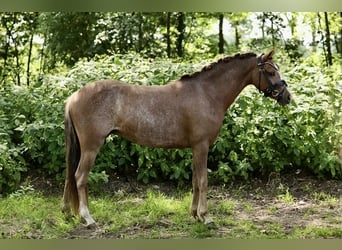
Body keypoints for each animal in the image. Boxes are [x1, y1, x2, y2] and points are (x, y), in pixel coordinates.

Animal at [62, 48, 292, 227]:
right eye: (271, 71)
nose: (287, 97)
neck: (207, 93)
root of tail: (74, 97)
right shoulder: (201, 146)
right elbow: (203, 180)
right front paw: (205, 216)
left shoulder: (195, 148)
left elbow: (195, 181)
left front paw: (194, 215)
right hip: (91, 147)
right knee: (80, 177)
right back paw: (87, 218)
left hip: (82, 148)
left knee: (70, 176)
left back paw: (68, 212)